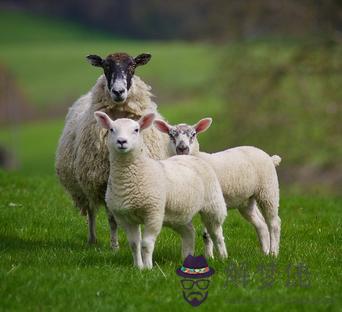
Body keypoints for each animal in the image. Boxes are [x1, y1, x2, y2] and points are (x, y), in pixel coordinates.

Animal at [56, 51, 174, 249]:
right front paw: (114, 247)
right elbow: (111, 219)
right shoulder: (103, 182)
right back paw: (92, 239)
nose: (118, 91)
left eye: (132, 66)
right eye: (106, 66)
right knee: (91, 211)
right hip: (85, 185)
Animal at [94, 111, 227, 268]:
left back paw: (223, 258)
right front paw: (138, 267)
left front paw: (148, 268)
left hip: (213, 204)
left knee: (217, 233)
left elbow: (146, 244)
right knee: (189, 232)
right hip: (179, 214)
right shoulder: (126, 218)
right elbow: (134, 244)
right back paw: (187, 257)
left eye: (136, 130)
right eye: (111, 129)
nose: (121, 141)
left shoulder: (153, 213)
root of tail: (189, 156)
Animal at [154, 117, 282, 256]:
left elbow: (207, 234)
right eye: (171, 135)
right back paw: (265, 252)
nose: (182, 148)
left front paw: (210, 257)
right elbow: (205, 234)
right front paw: (209, 256)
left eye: (193, 134)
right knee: (261, 224)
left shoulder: (211, 202)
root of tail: (270, 158)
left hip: (268, 189)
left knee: (274, 223)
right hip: (246, 201)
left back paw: (273, 253)